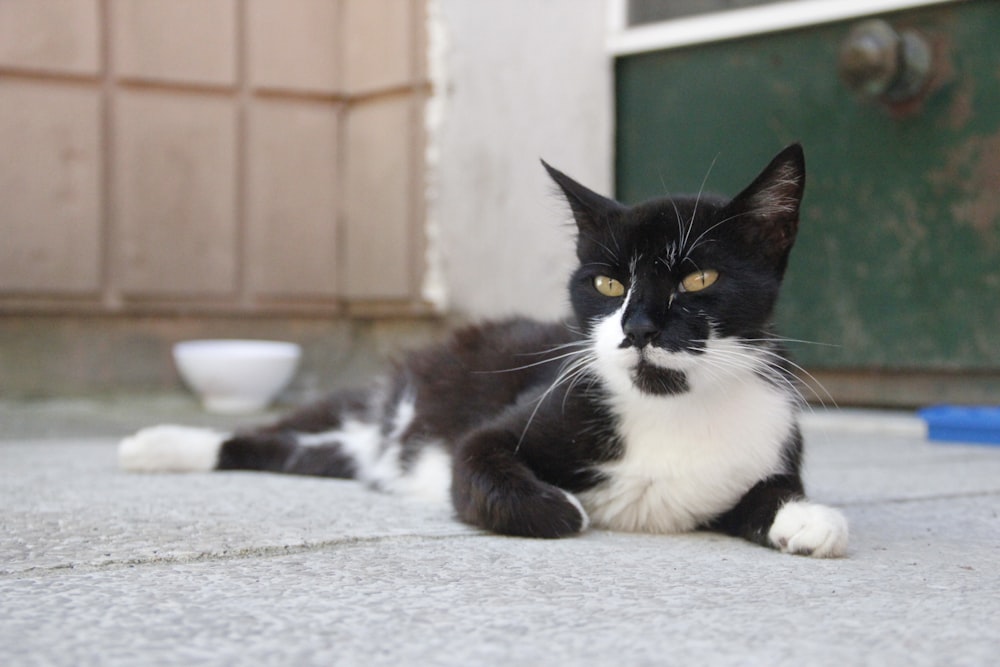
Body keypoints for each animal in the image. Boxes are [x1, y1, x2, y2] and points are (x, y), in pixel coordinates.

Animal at [121, 145, 848, 560]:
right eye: (608, 285)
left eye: (699, 280)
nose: (638, 327)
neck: (672, 404)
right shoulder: (519, 418)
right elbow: (478, 462)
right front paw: (561, 506)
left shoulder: (768, 441)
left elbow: (770, 491)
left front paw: (808, 516)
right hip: (387, 399)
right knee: (274, 430)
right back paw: (157, 444)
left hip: (345, 449)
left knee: (289, 449)